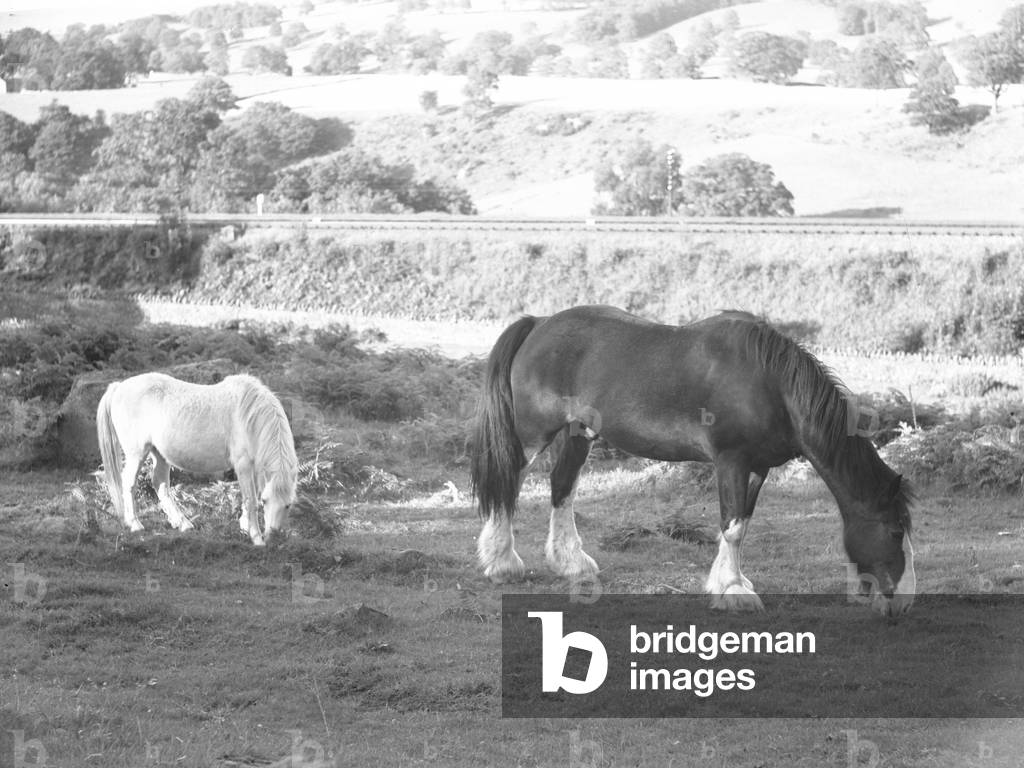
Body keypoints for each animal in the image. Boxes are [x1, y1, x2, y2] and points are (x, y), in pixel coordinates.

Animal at [96, 372, 298, 545]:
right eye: (266, 501)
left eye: (288, 505)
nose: (273, 538)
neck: (249, 417)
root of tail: (119, 386)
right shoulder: (243, 465)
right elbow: (251, 500)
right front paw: (256, 538)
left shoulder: (254, 467)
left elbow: (248, 497)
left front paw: (244, 526)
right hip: (137, 454)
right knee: (129, 483)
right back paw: (135, 524)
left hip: (159, 454)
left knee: (160, 484)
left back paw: (183, 524)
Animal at [470, 305, 915, 617]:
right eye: (895, 531)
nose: (905, 600)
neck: (770, 386)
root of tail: (538, 324)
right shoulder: (732, 461)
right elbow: (733, 527)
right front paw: (735, 591)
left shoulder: (758, 468)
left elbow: (741, 522)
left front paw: (727, 582)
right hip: (532, 435)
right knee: (509, 483)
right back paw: (502, 564)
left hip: (579, 434)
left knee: (562, 490)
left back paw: (572, 565)